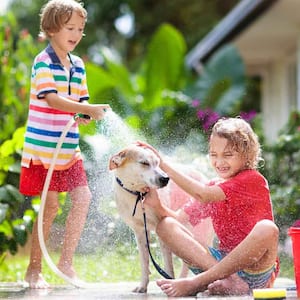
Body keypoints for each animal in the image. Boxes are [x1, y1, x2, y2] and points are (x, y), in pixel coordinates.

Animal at [109, 144, 214, 294]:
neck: (138, 195)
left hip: (199, 233)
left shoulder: (161, 227)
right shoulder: (140, 232)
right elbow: (144, 262)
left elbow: (168, 264)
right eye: (144, 163)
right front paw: (143, 286)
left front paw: (170, 282)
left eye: (158, 163)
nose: (165, 178)